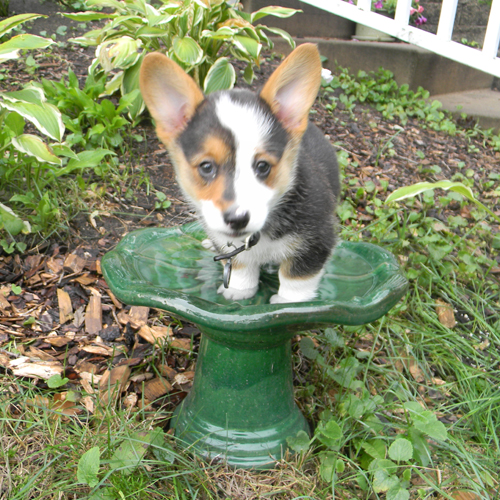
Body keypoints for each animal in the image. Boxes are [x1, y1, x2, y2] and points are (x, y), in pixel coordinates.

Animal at [141, 43, 340, 302]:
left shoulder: (315, 241)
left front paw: (287, 303)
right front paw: (239, 291)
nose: (237, 219)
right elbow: (241, 267)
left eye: (263, 166)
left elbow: (296, 280)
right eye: (206, 166)